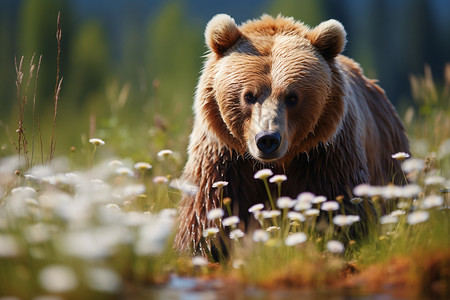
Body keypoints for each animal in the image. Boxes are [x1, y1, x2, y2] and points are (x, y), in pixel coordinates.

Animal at [174, 14, 410, 253]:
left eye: (292, 97)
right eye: (248, 95)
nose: (268, 139)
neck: (276, 165)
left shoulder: (327, 155)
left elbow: (343, 204)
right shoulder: (224, 158)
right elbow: (206, 214)